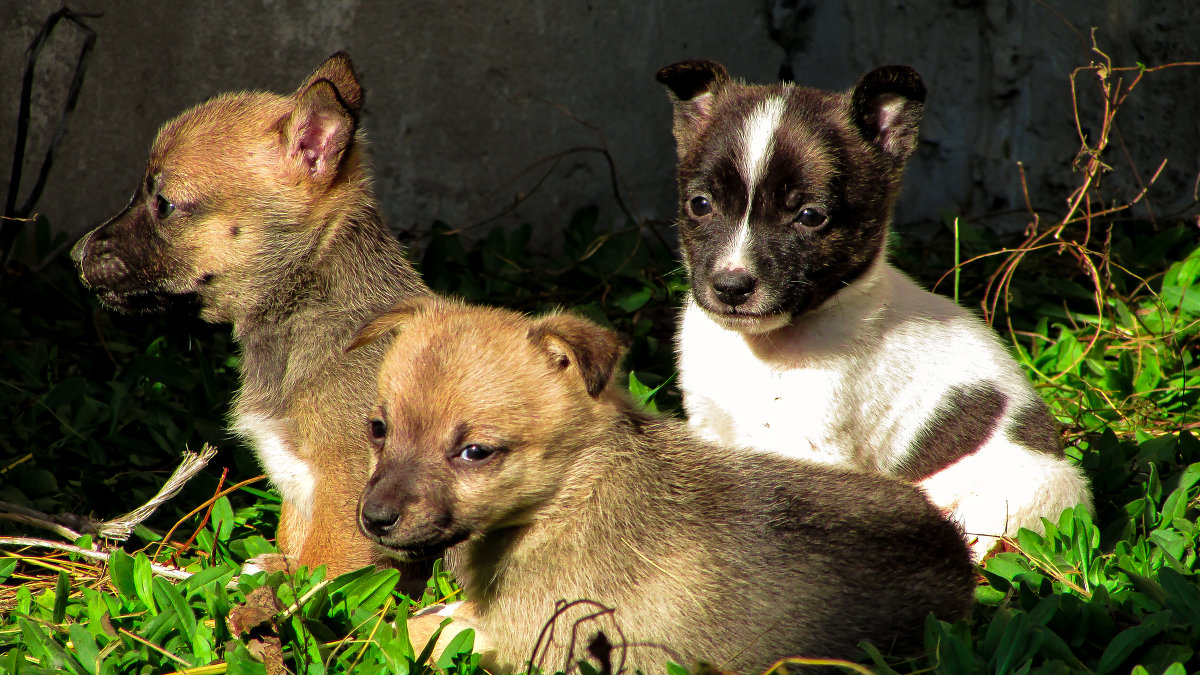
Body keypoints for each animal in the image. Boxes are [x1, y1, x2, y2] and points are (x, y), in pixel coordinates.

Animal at [70, 53, 432, 578]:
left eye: (165, 205)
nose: (75, 254)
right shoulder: (301, 492)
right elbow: (292, 551)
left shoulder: (349, 498)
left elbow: (323, 578)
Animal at [350, 297, 974, 672]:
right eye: (378, 428)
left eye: (475, 452)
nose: (374, 520)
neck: (572, 494)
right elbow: (427, 619)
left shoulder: (530, 637)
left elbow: (407, 635)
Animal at [662, 61, 1094, 557]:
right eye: (700, 205)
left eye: (810, 217)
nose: (731, 286)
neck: (763, 346)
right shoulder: (710, 425)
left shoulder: (811, 448)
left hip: (1030, 494)